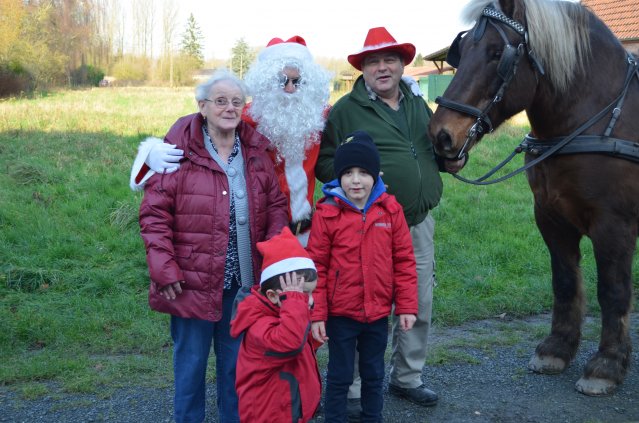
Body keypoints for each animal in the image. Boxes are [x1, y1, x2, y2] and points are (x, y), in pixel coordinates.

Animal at [429, 0, 639, 396]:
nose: (441, 135)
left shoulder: (614, 225)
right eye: (461, 51)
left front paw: (607, 365)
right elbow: (565, 281)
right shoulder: (550, 217)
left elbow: (613, 290)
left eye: (498, 54)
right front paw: (557, 349)